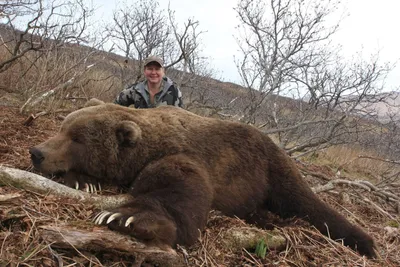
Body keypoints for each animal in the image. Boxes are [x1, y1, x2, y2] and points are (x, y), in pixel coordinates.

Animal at [30, 99, 376, 258]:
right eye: (63, 127)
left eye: (77, 138)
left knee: (307, 203)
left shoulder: (183, 156)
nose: (37, 152)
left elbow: (179, 189)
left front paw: (126, 217)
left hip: (272, 168)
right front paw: (82, 180)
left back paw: (365, 243)